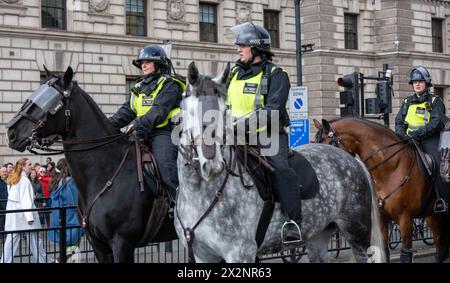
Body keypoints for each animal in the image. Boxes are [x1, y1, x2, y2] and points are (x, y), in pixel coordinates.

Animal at [174, 62, 384, 264]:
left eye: (225, 109)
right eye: (189, 111)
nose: (213, 164)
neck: (202, 194)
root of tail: (351, 158)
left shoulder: (240, 253)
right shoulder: (203, 255)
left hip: (357, 233)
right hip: (318, 236)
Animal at [314, 117, 448, 264]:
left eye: (328, 145)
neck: (391, 169)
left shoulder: (405, 219)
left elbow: (406, 254)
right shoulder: (382, 219)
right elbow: (384, 251)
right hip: (431, 215)